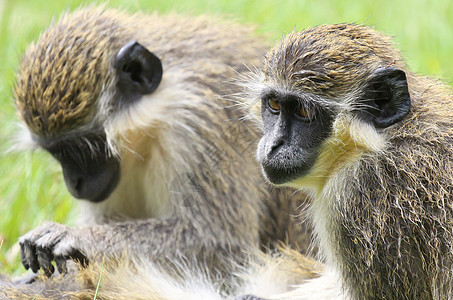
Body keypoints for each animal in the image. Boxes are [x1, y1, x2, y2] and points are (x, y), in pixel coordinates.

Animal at [4, 4, 318, 298]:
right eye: (56, 152)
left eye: (84, 147)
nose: (75, 183)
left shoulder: (200, 127)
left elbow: (221, 246)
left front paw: (78, 237)